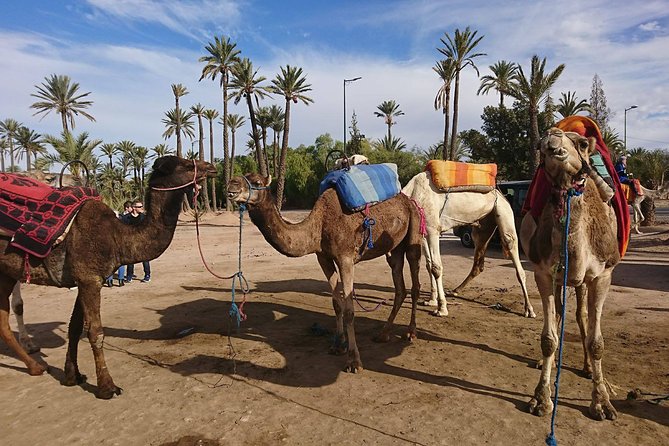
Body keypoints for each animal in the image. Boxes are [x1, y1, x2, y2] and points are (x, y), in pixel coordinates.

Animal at [0, 156, 216, 398]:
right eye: (187, 165)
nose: (211, 167)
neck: (117, 236)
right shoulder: (89, 279)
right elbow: (95, 332)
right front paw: (107, 387)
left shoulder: (86, 279)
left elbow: (74, 328)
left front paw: (72, 376)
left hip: (5, 273)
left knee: (3, 321)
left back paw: (35, 366)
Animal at [226, 172, 422, 373]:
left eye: (257, 182)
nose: (231, 185)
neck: (319, 226)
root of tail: (410, 201)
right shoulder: (324, 258)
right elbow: (337, 304)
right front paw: (338, 345)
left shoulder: (345, 259)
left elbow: (350, 310)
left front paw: (354, 361)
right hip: (394, 247)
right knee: (399, 285)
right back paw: (383, 334)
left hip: (414, 230)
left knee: (415, 282)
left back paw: (410, 332)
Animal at [402, 172, 535, 318]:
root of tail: (501, 194)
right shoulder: (424, 231)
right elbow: (429, 265)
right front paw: (431, 301)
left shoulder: (432, 229)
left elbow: (436, 267)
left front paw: (442, 309)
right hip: (482, 227)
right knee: (478, 263)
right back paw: (454, 290)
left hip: (503, 212)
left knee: (512, 249)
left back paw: (529, 310)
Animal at [520, 128, 620, 421]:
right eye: (540, 146)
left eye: (583, 143)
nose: (553, 142)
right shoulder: (543, 273)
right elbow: (548, 339)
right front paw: (541, 399)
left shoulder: (603, 275)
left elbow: (597, 342)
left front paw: (602, 403)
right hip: (563, 280)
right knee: (562, 314)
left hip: (583, 281)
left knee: (581, 314)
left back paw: (587, 368)